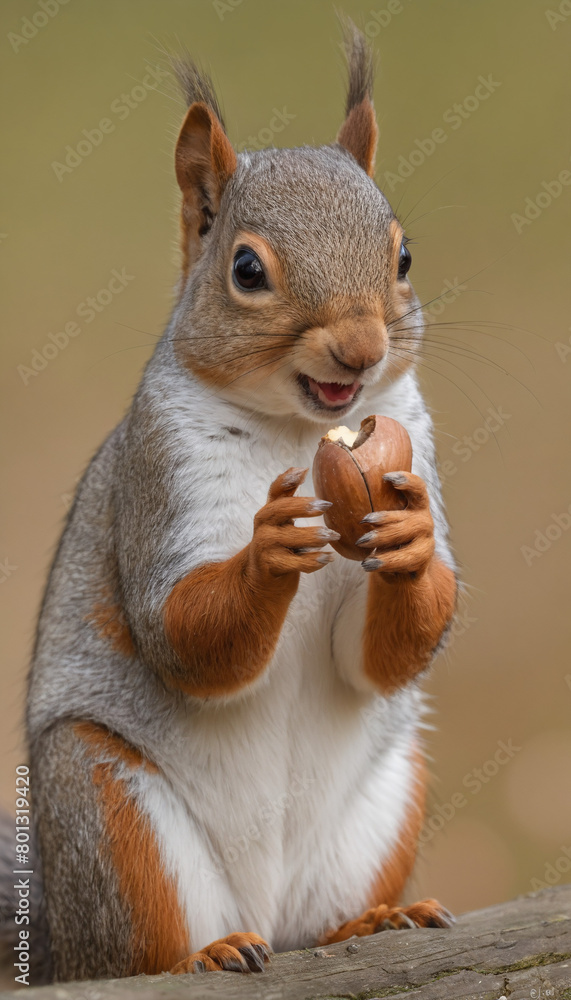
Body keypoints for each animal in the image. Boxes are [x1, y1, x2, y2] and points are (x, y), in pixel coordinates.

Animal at [19, 22, 458, 982]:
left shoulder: (413, 445)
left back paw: (369, 923)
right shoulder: (162, 477)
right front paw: (266, 550)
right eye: (247, 269)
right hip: (106, 811)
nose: (360, 346)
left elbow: (373, 653)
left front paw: (409, 541)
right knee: (137, 950)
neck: (300, 432)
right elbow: (181, 633)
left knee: (317, 923)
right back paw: (208, 952)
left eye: (403, 256)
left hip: (388, 796)